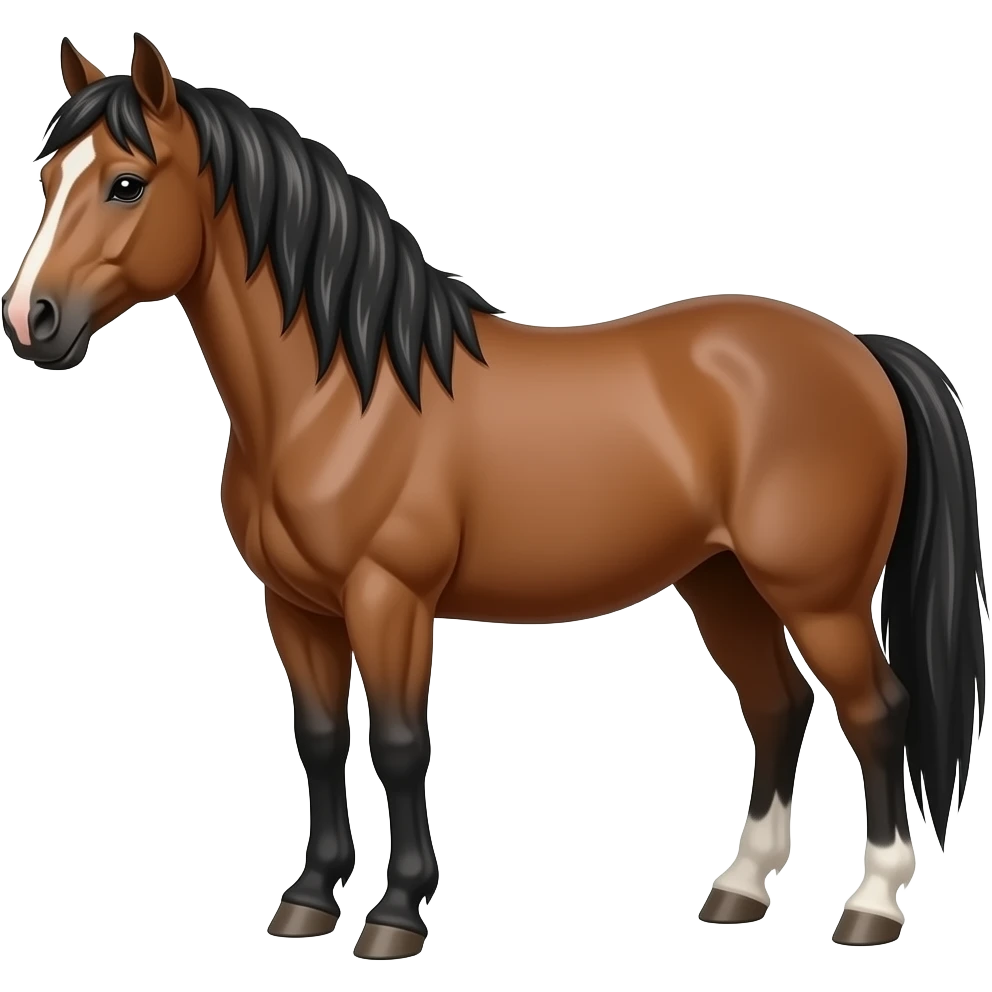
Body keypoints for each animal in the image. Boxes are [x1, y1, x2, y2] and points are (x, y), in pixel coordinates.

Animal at [2, 33, 986, 958]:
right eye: (47, 178)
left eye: (127, 184)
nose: (30, 320)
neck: (344, 393)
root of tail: (858, 350)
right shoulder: (295, 606)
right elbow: (319, 741)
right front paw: (309, 901)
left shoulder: (389, 599)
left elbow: (402, 746)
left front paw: (396, 915)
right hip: (723, 582)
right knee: (778, 706)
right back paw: (740, 890)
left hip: (818, 595)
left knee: (877, 712)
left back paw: (871, 906)